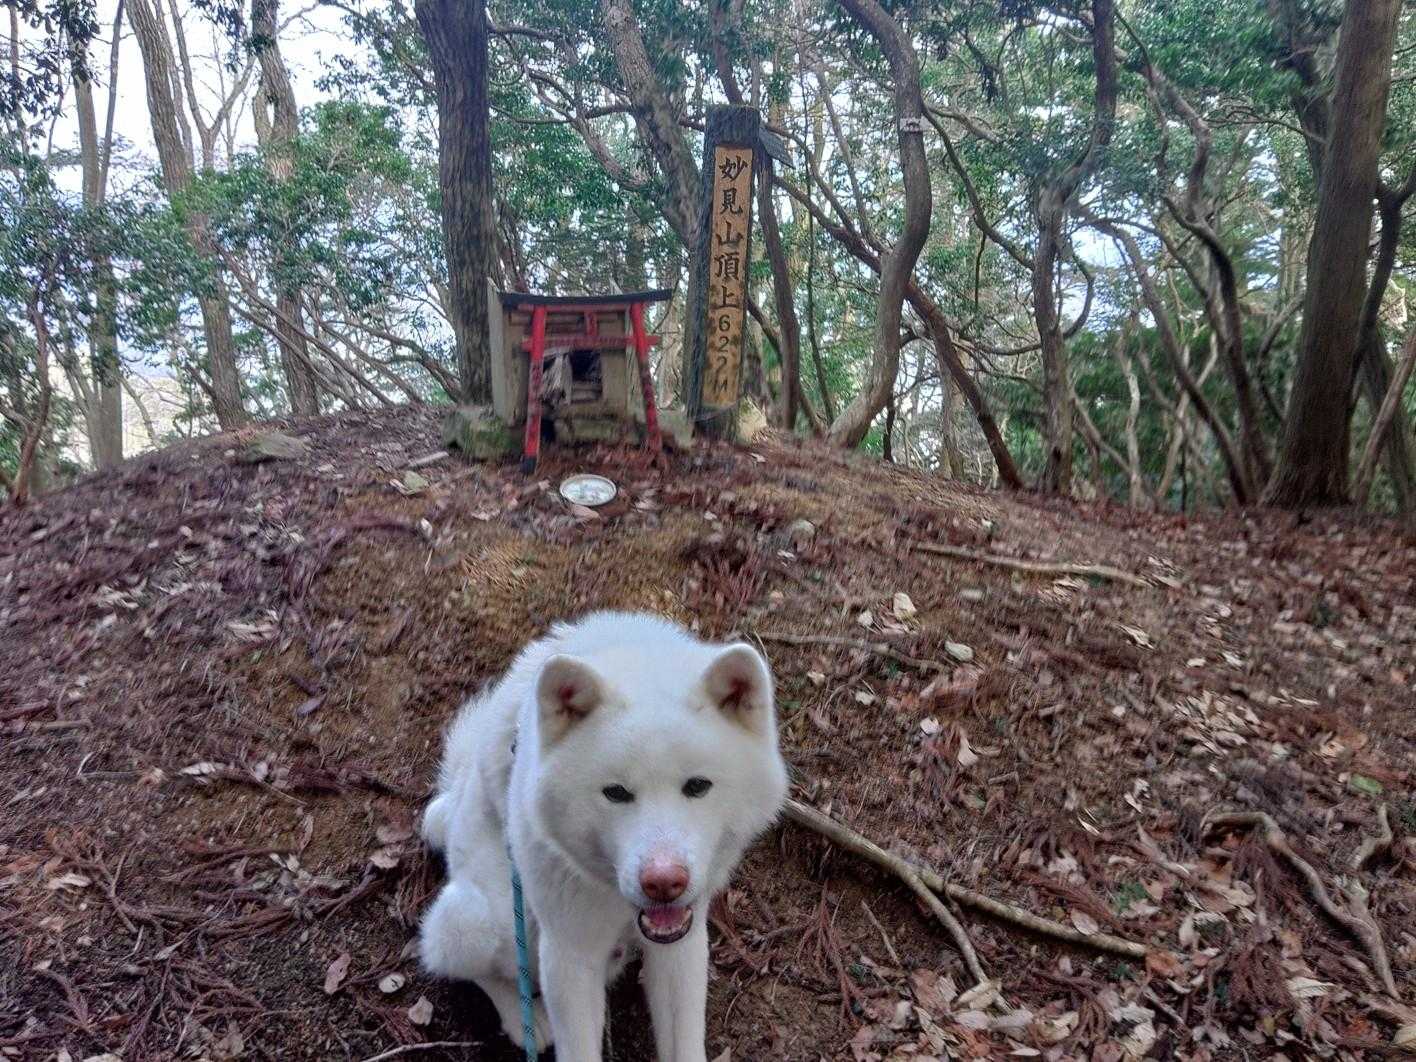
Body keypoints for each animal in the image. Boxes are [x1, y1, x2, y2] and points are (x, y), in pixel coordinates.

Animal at [418, 611, 789, 1061]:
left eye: (698, 786)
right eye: (616, 793)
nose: (663, 882)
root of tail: (451, 805)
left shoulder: (681, 944)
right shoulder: (569, 955)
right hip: (481, 920)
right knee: (471, 966)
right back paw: (526, 1020)